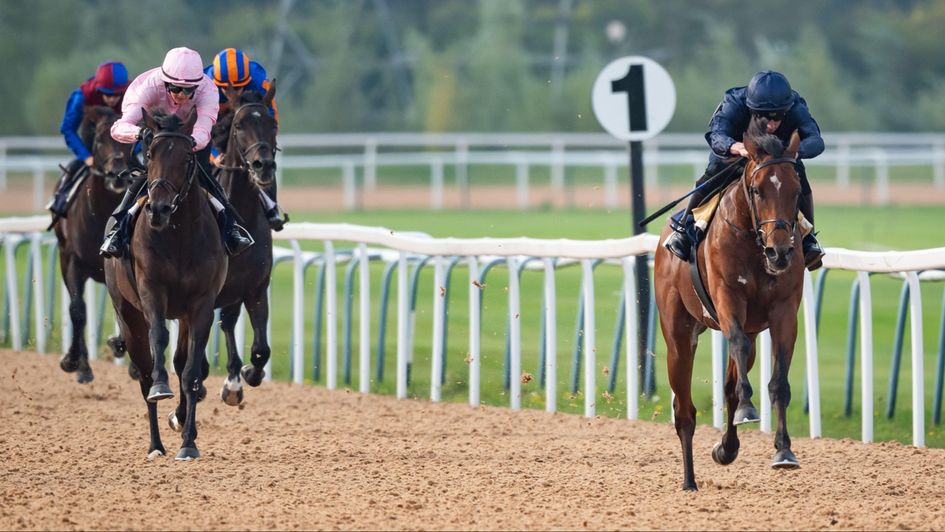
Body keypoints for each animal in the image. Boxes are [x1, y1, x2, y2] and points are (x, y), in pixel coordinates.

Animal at [51, 107, 134, 382]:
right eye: (98, 141)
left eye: (129, 144)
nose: (117, 175)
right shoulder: (73, 262)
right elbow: (77, 310)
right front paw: (74, 362)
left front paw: (122, 348)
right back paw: (82, 364)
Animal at [104, 106, 228, 460]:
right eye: (150, 153)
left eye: (187, 157)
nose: (158, 209)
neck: (179, 236)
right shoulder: (151, 292)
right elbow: (159, 338)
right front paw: (163, 388)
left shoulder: (201, 305)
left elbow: (191, 372)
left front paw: (188, 442)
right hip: (128, 314)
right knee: (144, 374)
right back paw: (155, 444)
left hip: (182, 315)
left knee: (182, 362)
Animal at [656, 119, 804, 490]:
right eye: (757, 190)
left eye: (796, 190)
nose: (780, 252)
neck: (754, 247)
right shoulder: (727, 300)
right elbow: (734, 344)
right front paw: (750, 411)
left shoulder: (784, 312)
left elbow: (777, 382)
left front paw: (783, 451)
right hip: (678, 336)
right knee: (684, 411)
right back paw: (689, 481)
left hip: (750, 332)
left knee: (731, 386)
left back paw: (727, 447)